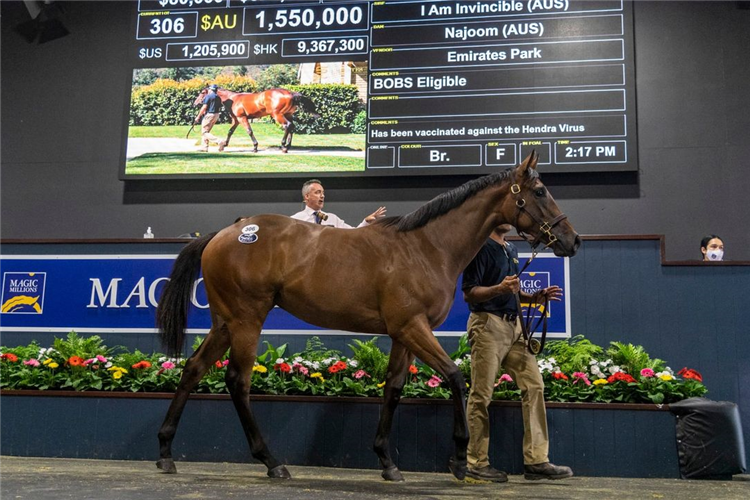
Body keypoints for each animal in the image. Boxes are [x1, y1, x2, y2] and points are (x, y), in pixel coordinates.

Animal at [157, 151, 580, 480]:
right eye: (539, 192)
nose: (572, 240)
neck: (426, 247)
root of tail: (225, 233)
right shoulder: (413, 327)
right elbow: (456, 377)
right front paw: (460, 460)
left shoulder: (403, 334)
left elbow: (393, 389)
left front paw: (387, 461)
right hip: (247, 320)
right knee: (237, 381)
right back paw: (271, 461)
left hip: (225, 322)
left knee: (193, 369)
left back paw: (165, 452)